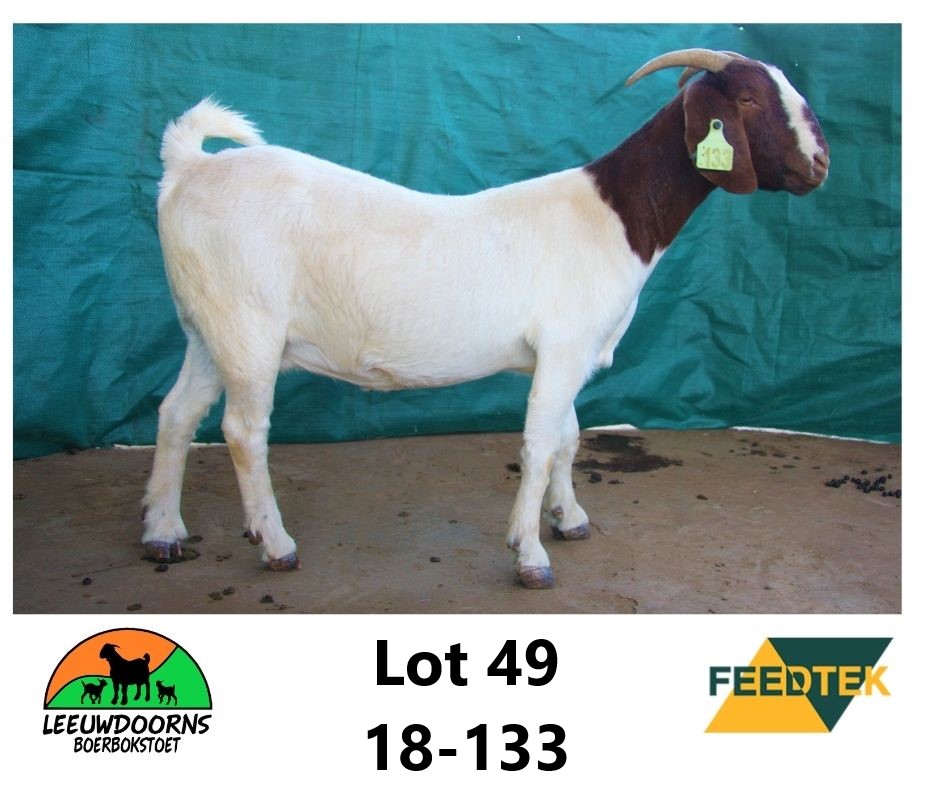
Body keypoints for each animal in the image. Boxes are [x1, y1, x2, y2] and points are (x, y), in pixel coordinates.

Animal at [142, 48, 829, 589]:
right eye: (748, 98)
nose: (820, 164)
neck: (612, 216)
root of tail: (189, 168)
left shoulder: (567, 352)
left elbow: (568, 439)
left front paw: (569, 520)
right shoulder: (564, 347)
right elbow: (539, 445)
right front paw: (529, 555)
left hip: (205, 327)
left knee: (177, 414)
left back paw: (163, 533)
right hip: (248, 327)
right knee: (242, 430)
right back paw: (276, 544)